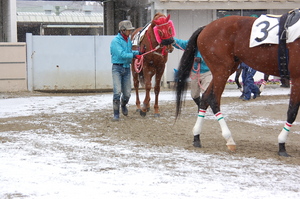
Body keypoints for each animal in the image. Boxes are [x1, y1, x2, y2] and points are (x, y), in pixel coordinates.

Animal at [176, 10, 300, 157]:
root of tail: (205, 27)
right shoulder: (297, 78)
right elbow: (292, 111)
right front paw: (282, 144)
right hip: (222, 70)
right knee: (213, 99)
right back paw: (229, 139)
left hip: (226, 69)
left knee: (205, 98)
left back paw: (197, 137)